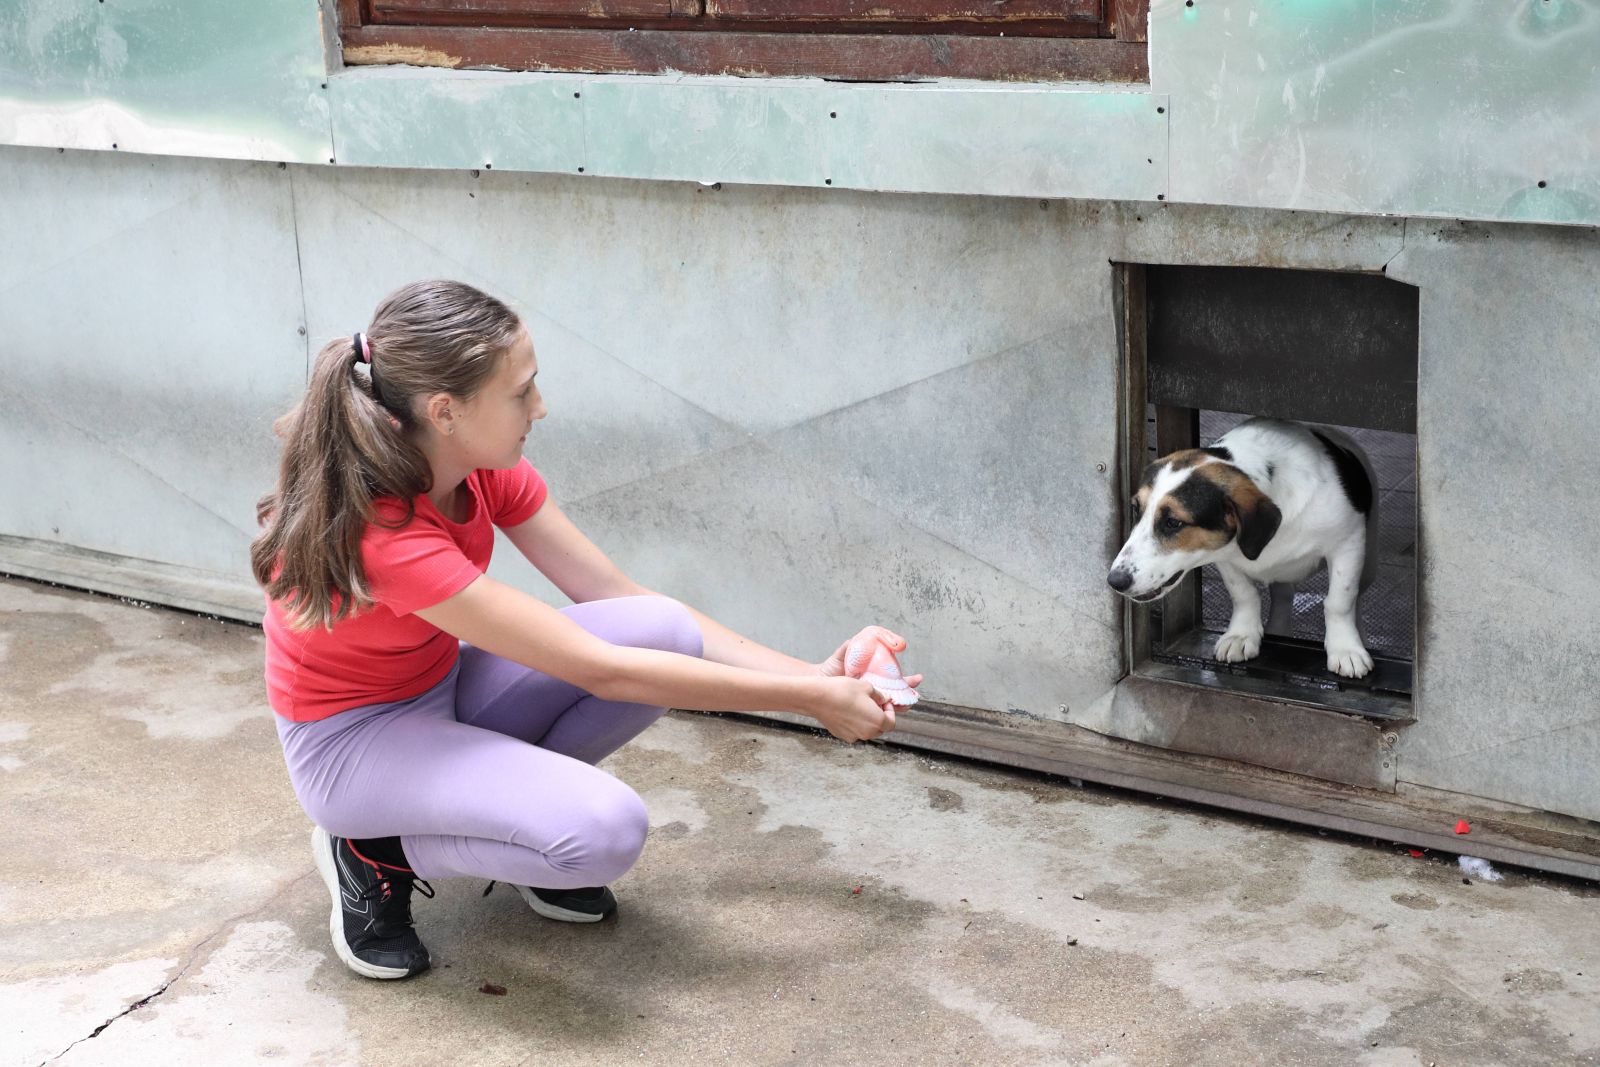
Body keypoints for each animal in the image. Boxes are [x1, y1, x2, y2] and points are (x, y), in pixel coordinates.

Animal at [1107, 415, 1382, 675]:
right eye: (1136, 509)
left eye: (1173, 522)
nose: (1115, 581)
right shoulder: (1224, 557)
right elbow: (1244, 594)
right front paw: (1241, 635)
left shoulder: (1347, 545)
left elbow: (1339, 602)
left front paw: (1345, 649)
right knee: (1283, 596)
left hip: (1368, 563)